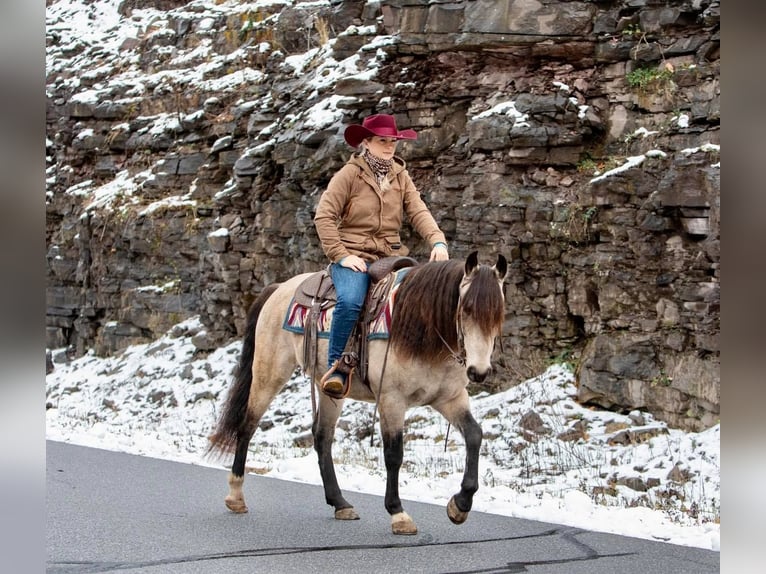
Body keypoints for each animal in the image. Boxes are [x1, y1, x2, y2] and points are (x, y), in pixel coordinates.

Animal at [208, 252, 510, 536]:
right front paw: (398, 513)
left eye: (499, 313)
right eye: (467, 308)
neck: (420, 330)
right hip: (269, 372)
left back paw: (340, 503)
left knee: (322, 437)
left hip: (330, 390)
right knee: (247, 426)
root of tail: (279, 288)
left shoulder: (450, 399)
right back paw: (236, 496)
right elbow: (393, 454)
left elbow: (474, 436)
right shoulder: (391, 399)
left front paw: (460, 505)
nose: (479, 372)